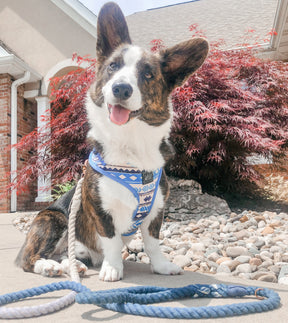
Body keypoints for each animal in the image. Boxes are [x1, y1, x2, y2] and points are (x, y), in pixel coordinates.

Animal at [15, 1, 208, 280]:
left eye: (148, 74)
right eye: (113, 67)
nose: (121, 88)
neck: (130, 144)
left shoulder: (156, 210)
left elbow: (153, 242)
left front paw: (161, 266)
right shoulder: (101, 209)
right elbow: (112, 240)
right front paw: (113, 268)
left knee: (67, 255)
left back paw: (74, 265)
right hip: (54, 219)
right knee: (29, 259)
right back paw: (49, 266)